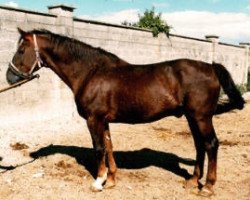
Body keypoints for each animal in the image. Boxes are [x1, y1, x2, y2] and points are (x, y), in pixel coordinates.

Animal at [5, 28, 244, 195]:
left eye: (21, 50)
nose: (9, 76)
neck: (91, 72)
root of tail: (211, 67)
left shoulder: (93, 119)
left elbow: (99, 148)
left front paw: (98, 182)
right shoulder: (104, 121)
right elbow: (109, 147)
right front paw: (111, 180)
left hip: (201, 117)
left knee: (211, 144)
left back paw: (208, 187)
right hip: (191, 117)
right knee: (199, 145)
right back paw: (193, 181)